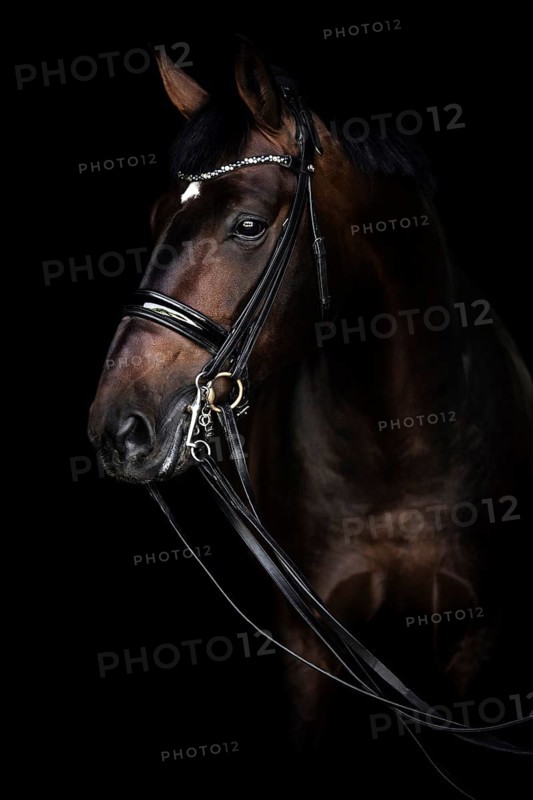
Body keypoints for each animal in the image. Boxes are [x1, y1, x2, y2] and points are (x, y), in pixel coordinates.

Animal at [88, 41, 533, 791]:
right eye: (154, 221)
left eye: (247, 224)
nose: (117, 428)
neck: (399, 442)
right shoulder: (310, 645)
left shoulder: (477, 639)